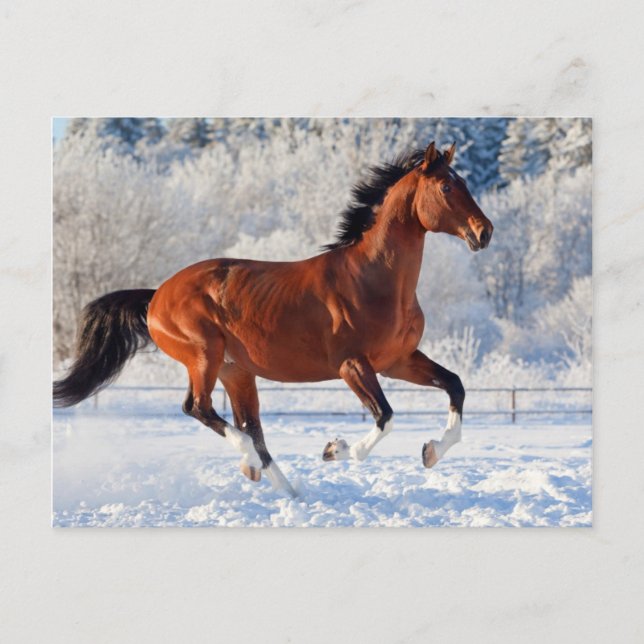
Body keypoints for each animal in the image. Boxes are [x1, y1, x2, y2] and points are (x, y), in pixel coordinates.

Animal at [53, 141, 493, 498]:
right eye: (447, 188)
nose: (484, 232)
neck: (373, 280)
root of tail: (157, 296)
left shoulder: (398, 361)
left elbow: (455, 385)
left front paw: (431, 451)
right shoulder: (352, 365)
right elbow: (385, 417)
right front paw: (335, 449)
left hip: (236, 371)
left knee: (250, 427)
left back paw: (286, 488)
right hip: (204, 357)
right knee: (199, 408)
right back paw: (250, 461)